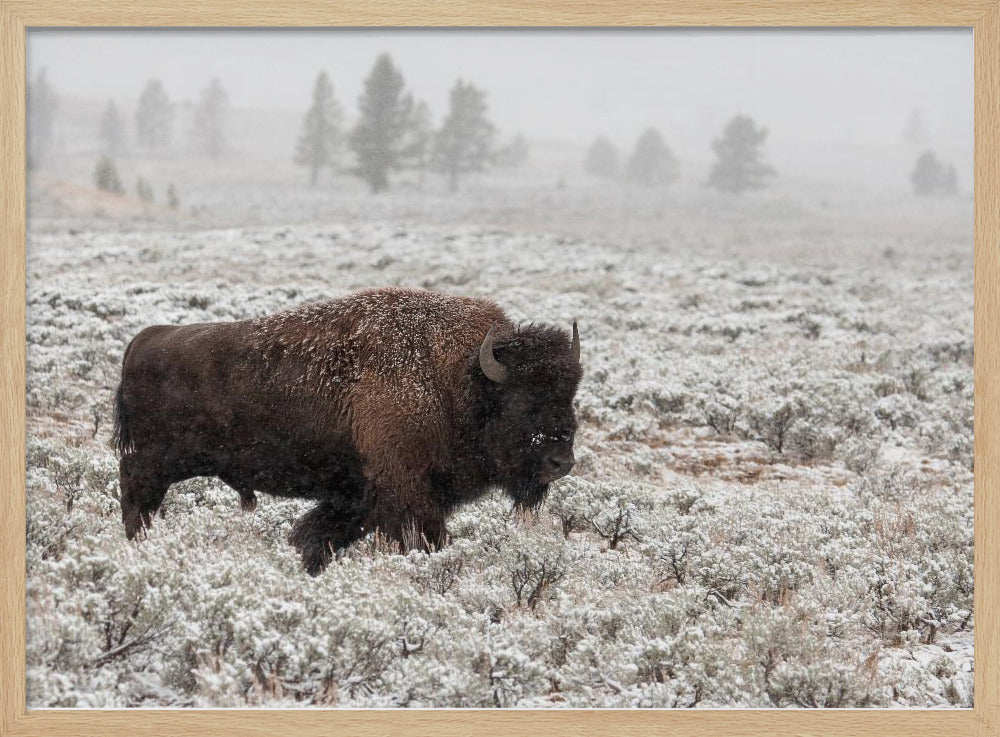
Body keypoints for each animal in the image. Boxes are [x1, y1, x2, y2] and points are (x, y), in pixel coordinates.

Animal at [113, 288, 584, 576]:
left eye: (570, 396)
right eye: (524, 401)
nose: (561, 462)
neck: (455, 379)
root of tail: (142, 341)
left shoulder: (358, 498)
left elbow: (317, 536)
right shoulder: (407, 495)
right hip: (157, 462)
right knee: (136, 497)